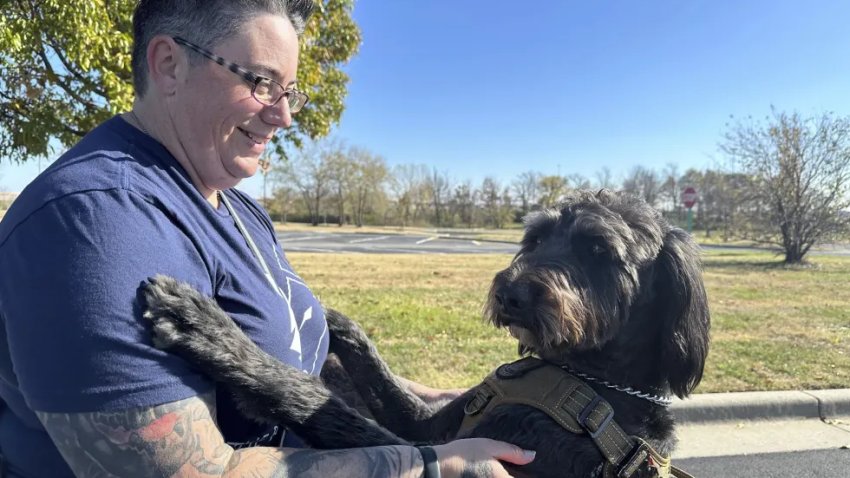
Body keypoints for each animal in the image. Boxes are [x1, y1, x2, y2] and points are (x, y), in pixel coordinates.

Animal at [142, 189, 704, 476]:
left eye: (598, 251)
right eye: (536, 238)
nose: (511, 293)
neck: (589, 380)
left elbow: (321, 404)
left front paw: (209, 331)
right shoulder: (431, 425)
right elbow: (374, 374)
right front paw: (332, 320)